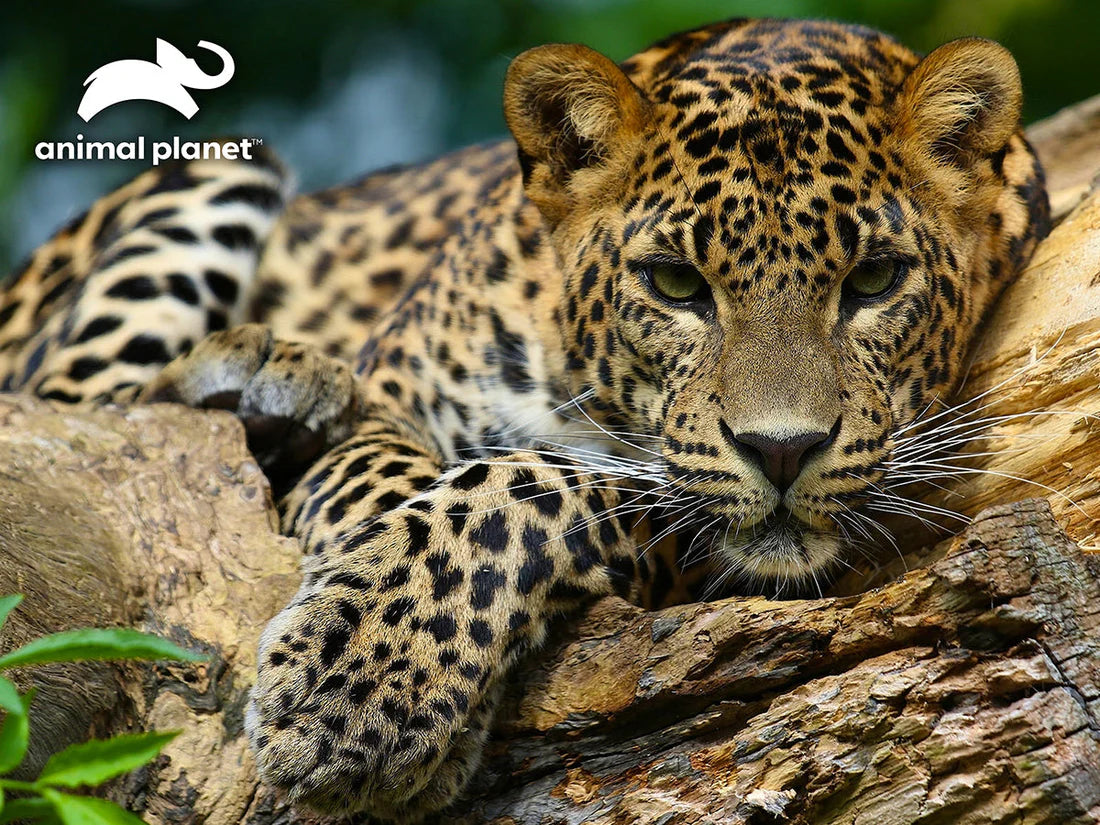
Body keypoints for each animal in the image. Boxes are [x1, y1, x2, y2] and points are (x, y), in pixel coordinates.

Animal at [0, 17, 1049, 822]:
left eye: (874, 280)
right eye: (675, 283)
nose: (782, 451)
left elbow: (527, 486)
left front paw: (363, 689)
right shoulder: (387, 394)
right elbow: (399, 486)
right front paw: (365, 673)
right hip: (213, 177)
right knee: (68, 407)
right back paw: (257, 372)